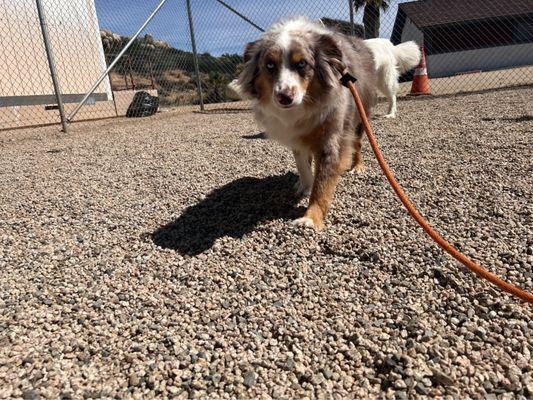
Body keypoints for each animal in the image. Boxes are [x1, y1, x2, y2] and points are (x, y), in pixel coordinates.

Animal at [235, 17, 376, 230]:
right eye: (269, 65)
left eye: (302, 63)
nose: (284, 97)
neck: (303, 105)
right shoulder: (296, 136)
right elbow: (302, 165)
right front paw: (305, 185)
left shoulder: (331, 137)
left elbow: (322, 182)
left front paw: (311, 218)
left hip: (360, 115)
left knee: (357, 143)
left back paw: (357, 166)